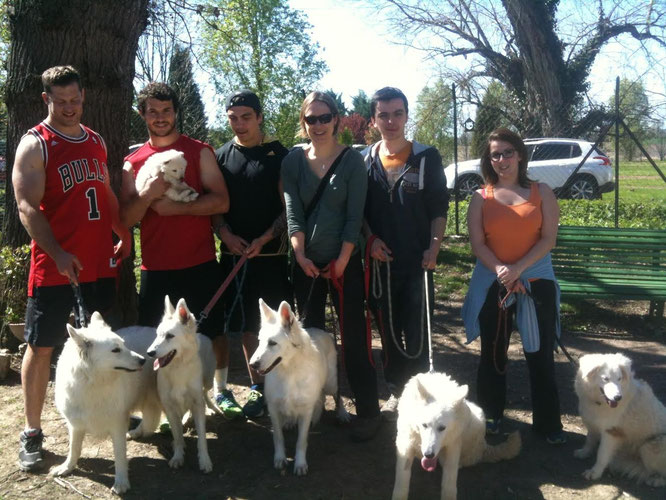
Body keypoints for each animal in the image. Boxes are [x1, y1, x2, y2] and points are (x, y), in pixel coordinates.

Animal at [52, 310, 150, 494]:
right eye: (116, 350)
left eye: (124, 346)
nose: (143, 360)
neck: (92, 383)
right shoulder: (75, 425)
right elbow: (73, 448)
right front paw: (67, 467)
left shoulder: (118, 425)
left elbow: (120, 456)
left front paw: (121, 482)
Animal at [245, 298, 348, 474]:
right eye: (259, 341)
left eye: (272, 343)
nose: (252, 365)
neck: (289, 372)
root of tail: (321, 331)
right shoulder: (273, 408)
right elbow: (278, 437)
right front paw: (280, 458)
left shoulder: (305, 410)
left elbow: (301, 441)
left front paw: (300, 463)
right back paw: (290, 421)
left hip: (331, 383)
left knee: (337, 395)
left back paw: (342, 413)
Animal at [392, 372, 520, 500]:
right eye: (424, 425)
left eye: (442, 428)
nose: (429, 454)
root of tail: (484, 446)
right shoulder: (405, 446)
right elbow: (401, 481)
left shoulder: (452, 447)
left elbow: (449, 483)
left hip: (476, 418)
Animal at [572, 352, 664, 484]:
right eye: (605, 379)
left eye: (619, 379)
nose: (617, 397)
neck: (600, 402)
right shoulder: (593, 422)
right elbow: (589, 439)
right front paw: (584, 452)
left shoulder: (611, 433)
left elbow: (602, 455)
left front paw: (595, 473)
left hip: (650, 446)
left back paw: (653, 479)